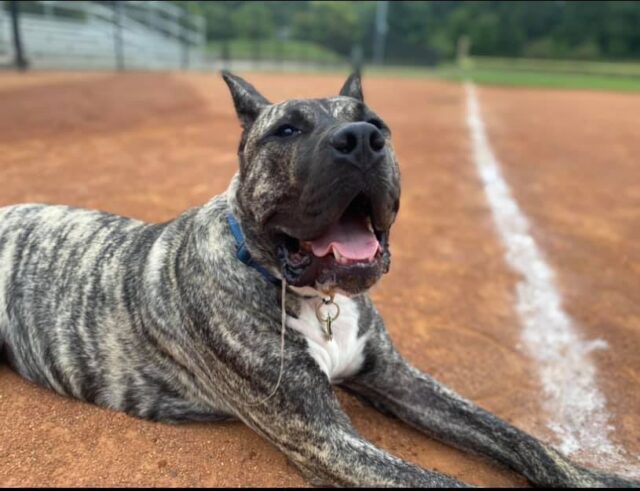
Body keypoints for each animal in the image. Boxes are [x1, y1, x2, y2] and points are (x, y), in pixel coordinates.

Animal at [0, 72, 636, 488]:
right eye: (285, 130)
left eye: (378, 125)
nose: (360, 141)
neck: (311, 293)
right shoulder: (322, 436)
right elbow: (441, 482)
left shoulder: (396, 378)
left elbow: (515, 434)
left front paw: (594, 477)